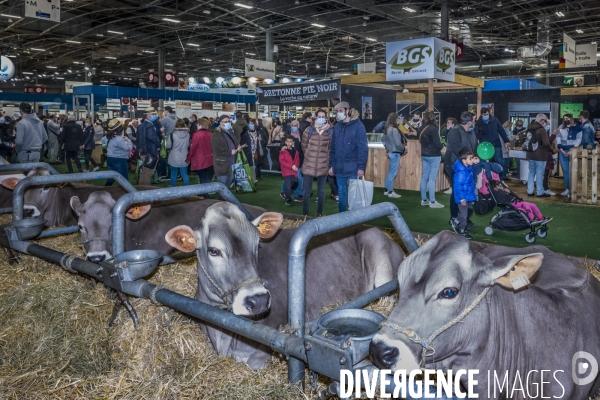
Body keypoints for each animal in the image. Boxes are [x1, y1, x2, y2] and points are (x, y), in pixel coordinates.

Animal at [166, 202, 406, 370]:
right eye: (214, 251)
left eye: (257, 245)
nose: (258, 299)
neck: (224, 336)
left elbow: (252, 363)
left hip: (379, 256)